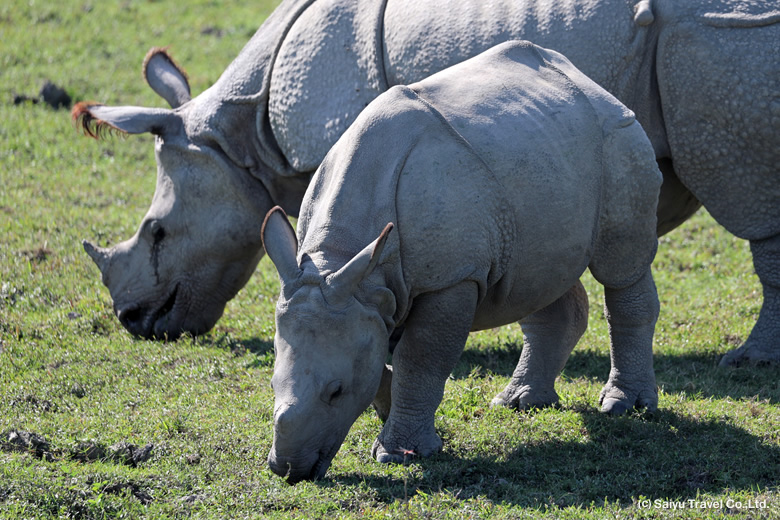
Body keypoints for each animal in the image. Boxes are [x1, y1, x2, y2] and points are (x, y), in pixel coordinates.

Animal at [74, 0, 779, 365]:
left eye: (159, 233)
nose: (135, 321)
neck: (239, 139)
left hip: (724, 43)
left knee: (751, 200)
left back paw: (749, 361)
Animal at [261, 41, 663, 482]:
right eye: (271, 385)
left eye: (335, 392)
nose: (287, 470)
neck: (340, 261)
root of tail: (589, 82)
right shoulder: (364, 293)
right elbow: (379, 353)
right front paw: (392, 417)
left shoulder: (451, 277)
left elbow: (420, 357)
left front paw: (399, 453)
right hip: (546, 157)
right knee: (536, 277)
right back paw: (520, 403)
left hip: (618, 137)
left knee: (621, 267)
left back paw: (625, 406)